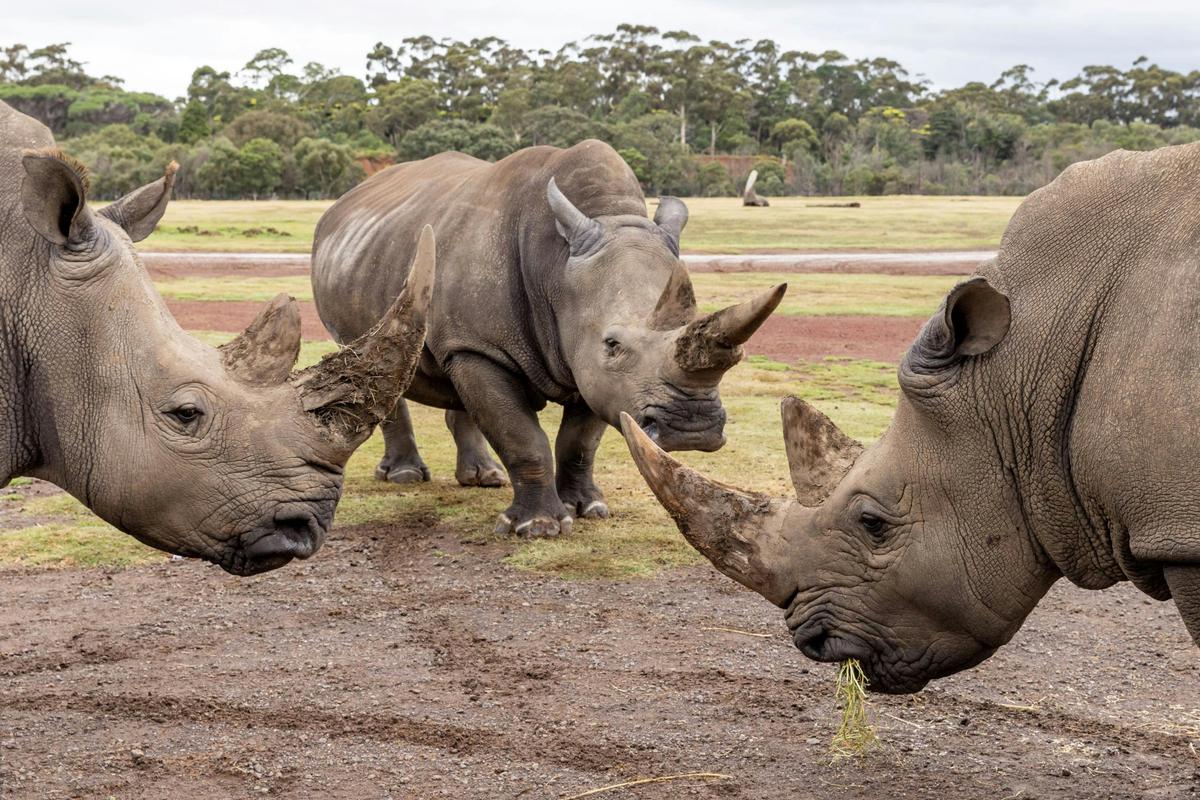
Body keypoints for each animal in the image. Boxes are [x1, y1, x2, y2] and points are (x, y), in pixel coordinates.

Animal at [312, 140, 784, 537]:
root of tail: (345, 204)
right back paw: (405, 476)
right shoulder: (486, 347)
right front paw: (537, 527)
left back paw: (484, 478)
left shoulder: (589, 367)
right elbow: (523, 437)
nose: (692, 429)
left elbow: (579, 442)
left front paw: (588, 509)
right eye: (613, 345)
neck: (557, 267)